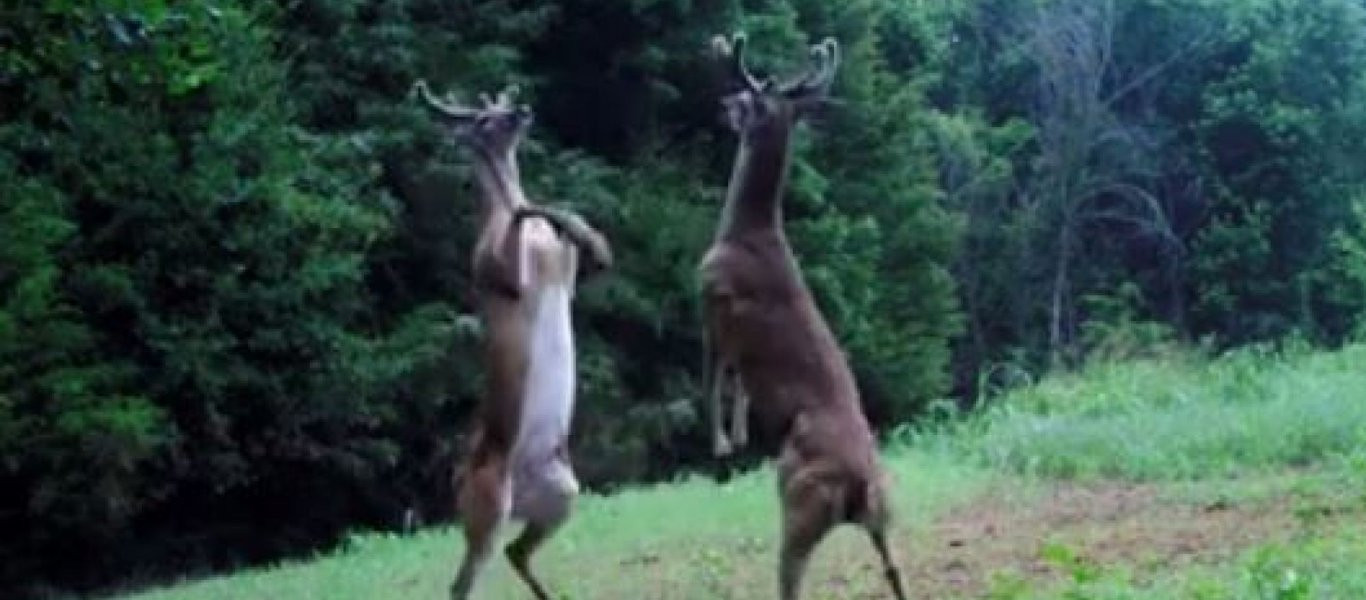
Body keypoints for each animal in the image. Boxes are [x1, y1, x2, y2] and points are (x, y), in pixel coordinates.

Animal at [409, 80, 614, 600]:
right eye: (484, 119)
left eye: (500, 105)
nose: (521, 109)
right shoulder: (495, 271)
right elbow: (521, 215)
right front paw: (530, 208)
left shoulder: (572, 276)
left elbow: (576, 230)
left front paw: (574, 225)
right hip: (486, 506)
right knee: (463, 580)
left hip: (563, 492)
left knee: (515, 552)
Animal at [699, 33, 912, 600]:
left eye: (747, 97)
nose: (722, 104)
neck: (746, 231)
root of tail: (859, 486)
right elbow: (738, 385)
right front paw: (738, 435)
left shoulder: (713, 298)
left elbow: (714, 375)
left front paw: (722, 443)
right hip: (884, 514)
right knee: (895, 569)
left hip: (797, 499)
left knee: (791, 579)